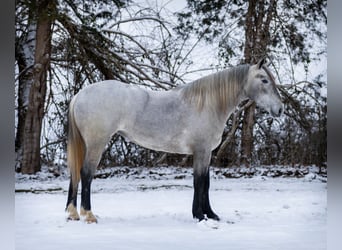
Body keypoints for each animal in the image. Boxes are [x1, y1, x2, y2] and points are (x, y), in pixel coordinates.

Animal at [65, 58, 282, 223]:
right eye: (264, 80)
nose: (280, 109)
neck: (208, 104)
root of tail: (79, 95)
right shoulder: (201, 151)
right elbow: (199, 182)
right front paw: (199, 216)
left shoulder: (206, 153)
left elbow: (206, 183)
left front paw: (211, 215)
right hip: (96, 144)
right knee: (86, 174)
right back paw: (89, 215)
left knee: (75, 173)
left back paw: (73, 214)